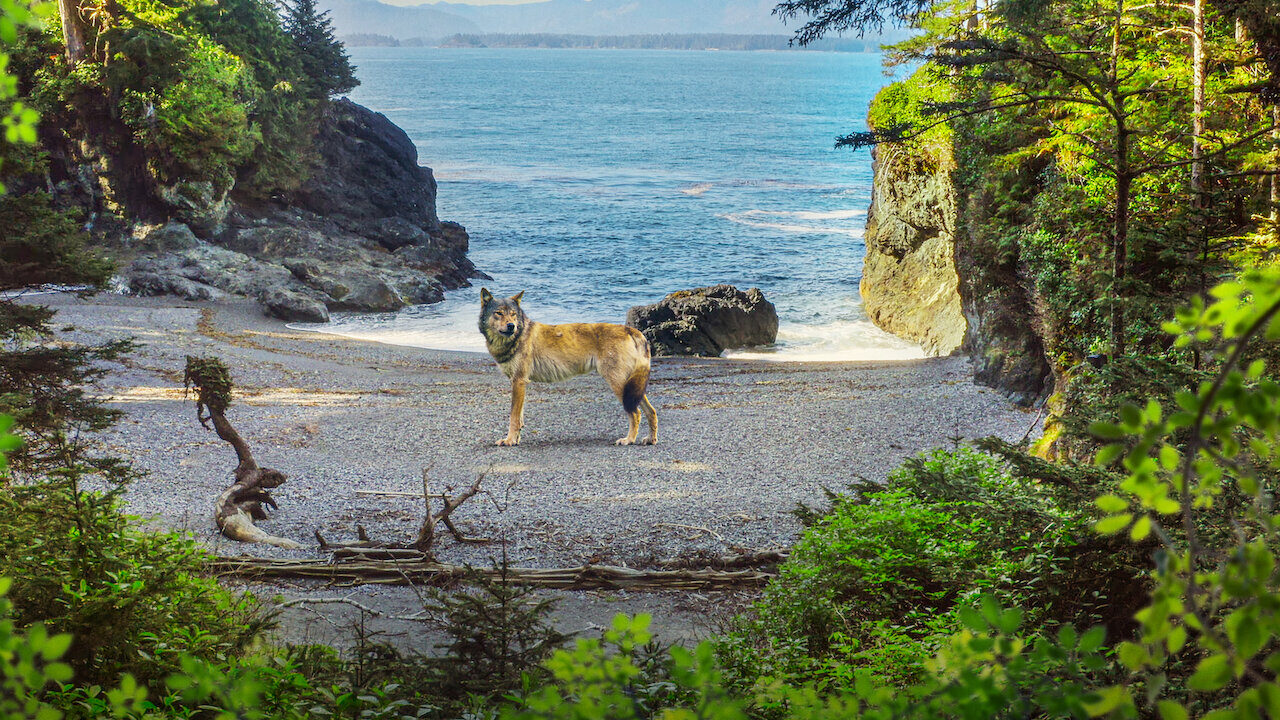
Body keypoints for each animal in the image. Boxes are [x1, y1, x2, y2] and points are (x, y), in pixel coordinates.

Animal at [481, 284, 660, 443]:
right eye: (499, 313)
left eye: (512, 314)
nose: (511, 326)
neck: (518, 336)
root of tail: (632, 330)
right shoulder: (520, 383)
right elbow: (520, 418)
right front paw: (516, 439)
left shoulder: (518, 382)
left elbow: (514, 417)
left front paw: (509, 441)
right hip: (632, 389)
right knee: (651, 411)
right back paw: (650, 439)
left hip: (620, 386)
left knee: (636, 413)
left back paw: (629, 440)